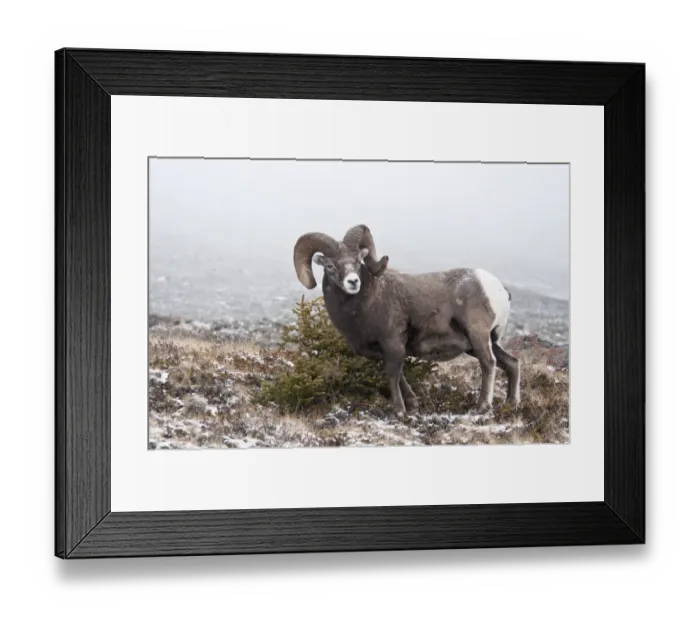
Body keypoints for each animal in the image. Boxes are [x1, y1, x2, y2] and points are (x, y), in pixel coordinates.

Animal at [293, 224, 520, 415]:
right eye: (330, 266)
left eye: (358, 261)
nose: (353, 282)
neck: (368, 301)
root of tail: (497, 288)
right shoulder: (385, 351)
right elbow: (401, 376)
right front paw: (413, 405)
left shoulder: (393, 343)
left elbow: (393, 375)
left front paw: (399, 411)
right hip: (482, 343)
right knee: (512, 363)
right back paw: (511, 403)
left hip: (478, 336)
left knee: (489, 363)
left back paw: (481, 407)